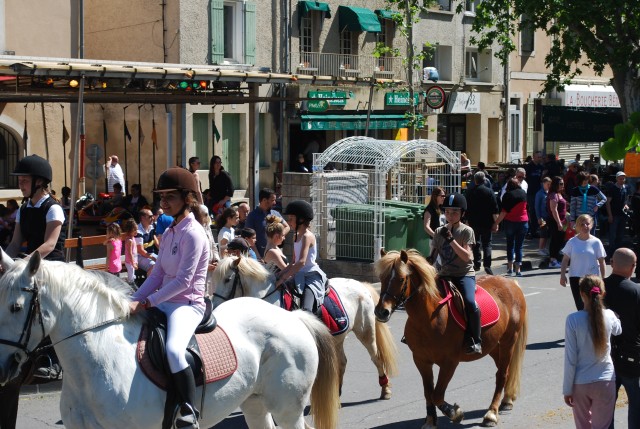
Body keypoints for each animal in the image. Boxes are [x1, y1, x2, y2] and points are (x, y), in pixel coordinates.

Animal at [212, 254, 398, 398]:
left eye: (227, 279)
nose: (213, 305)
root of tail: (362, 285)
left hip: (366, 332)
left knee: (376, 358)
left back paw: (385, 389)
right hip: (338, 337)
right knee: (342, 362)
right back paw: (337, 393)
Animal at [372, 249, 528, 426]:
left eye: (401, 279)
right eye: (382, 278)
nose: (381, 312)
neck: (429, 317)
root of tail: (511, 284)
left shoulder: (449, 363)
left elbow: (437, 394)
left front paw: (454, 413)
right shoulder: (421, 360)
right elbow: (428, 392)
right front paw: (430, 421)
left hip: (509, 341)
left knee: (501, 375)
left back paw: (491, 414)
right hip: (494, 346)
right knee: (504, 371)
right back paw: (507, 400)